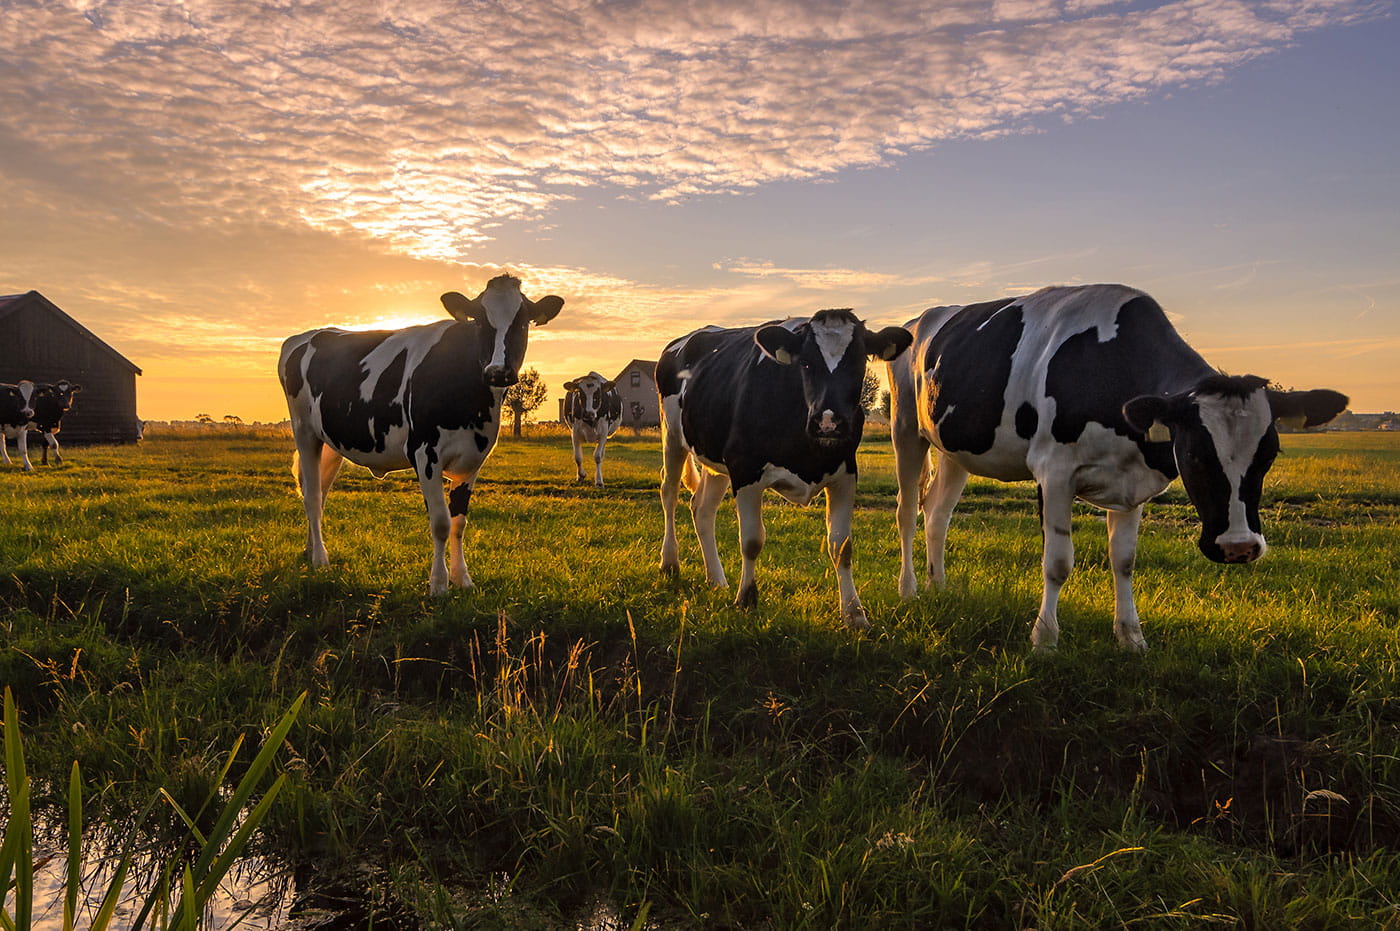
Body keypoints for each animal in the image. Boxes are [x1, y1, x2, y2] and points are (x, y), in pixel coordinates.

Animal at [278, 273, 562, 590]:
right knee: (313, 497)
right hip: (304, 432)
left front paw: (462, 579)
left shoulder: (473, 459)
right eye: (478, 320)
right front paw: (438, 584)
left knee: (318, 491)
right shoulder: (424, 452)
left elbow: (459, 522)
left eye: (523, 322)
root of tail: (305, 336)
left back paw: (309, 550)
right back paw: (320, 559)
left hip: (330, 442)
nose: (498, 371)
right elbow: (440, 522)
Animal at [658, 308, 912, 627]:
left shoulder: (845, 474)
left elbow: (841, 546)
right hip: (672, 435)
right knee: (669, 493)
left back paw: (716, 579)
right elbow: (752, 540)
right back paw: (669, 563)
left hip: (714, 459)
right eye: (806, 362)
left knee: (702, 508)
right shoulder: (745, 470)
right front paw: (746, 600)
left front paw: (854, 614)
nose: (828, 422)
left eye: (859, 361)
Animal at [890, 282, 1349, 652]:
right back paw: (909, 591)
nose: (1238, 547)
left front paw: (1131, 638)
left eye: (1269, 454)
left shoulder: (1132, 483)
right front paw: (1045, 640)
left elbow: (1124, 560)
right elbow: (1058, 562)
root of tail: (922, 317)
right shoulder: (1053, 472)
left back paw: (939, 587)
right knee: (907, 511)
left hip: (954, 449)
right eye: (1194, 453)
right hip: (906, 429)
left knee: (938, 513)